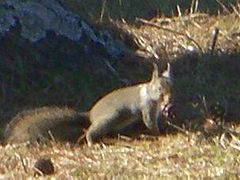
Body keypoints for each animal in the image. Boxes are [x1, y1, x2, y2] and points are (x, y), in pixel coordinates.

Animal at [4, 63, 172, 146]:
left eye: (173, 86)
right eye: (159, 89)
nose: (169, 100)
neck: (149, 92)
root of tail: (91, 115)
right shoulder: (147, 107)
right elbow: (150, 123)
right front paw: (160, 134)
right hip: (112, 116)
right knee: (90, 132)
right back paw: (93, 142)